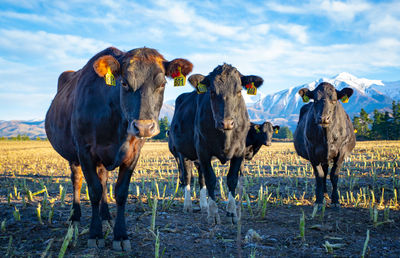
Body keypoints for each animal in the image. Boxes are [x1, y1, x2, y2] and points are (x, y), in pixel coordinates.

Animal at [45, 46, 192, 250]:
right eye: (124, 83)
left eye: (162, 83)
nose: (144, 127)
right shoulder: (84, 151)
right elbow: (94, 190)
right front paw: (95, 234)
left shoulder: (133, 154)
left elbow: (120, 192)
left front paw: (120, 235)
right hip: (73, 156)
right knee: (77, 181)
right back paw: (75, 218)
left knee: (103, 180)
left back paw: (106, 216)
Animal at [168, 64, 262, 224]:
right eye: (212, 91)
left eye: (239, 91)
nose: (226, 122)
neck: (225, 137)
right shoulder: (203, 151)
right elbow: (211, 180)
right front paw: (213, 214)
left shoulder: (239, 152)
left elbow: (232, 179)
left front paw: (232, 212)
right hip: (182, 153)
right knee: (187, 177)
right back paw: (188, 205)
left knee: (201, 178)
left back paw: (203, 205)